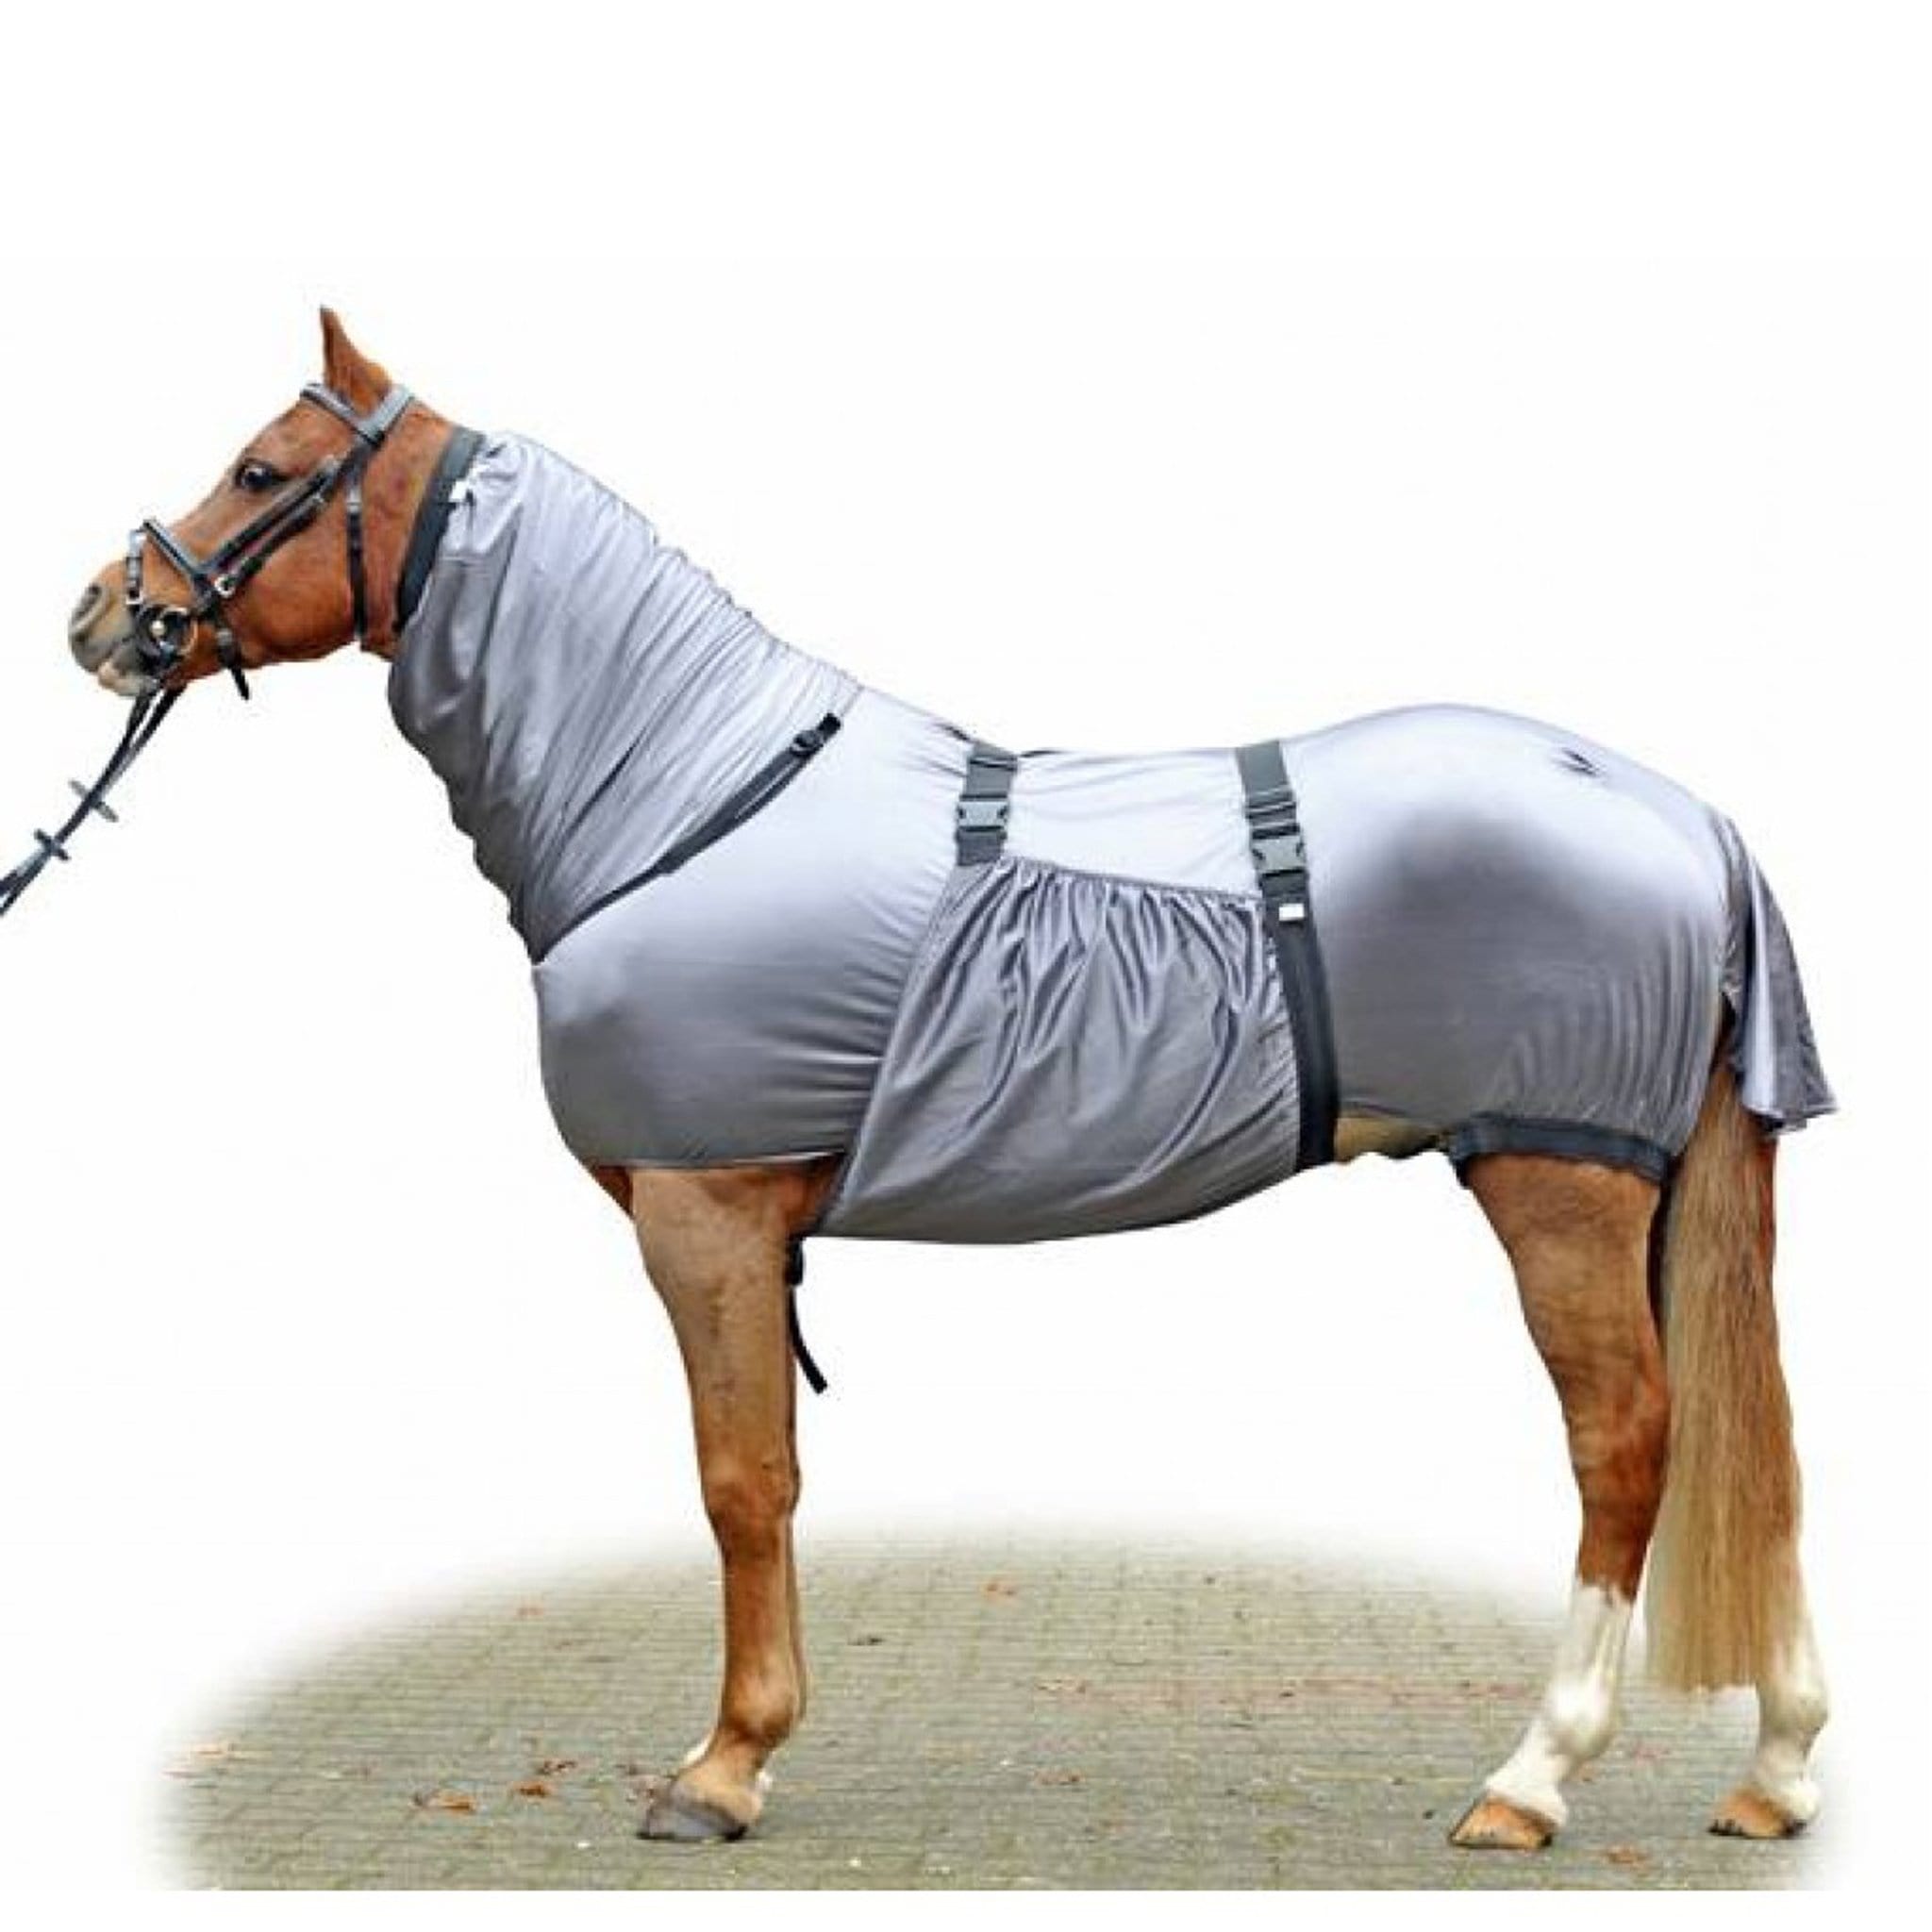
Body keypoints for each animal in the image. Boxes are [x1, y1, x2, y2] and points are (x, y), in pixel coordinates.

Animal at [65, 309, 1832, 1856]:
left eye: (259, 465)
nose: (97, 614)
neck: (691, 793)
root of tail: (1676, 809)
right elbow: (766, 1476)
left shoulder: (704, 1215)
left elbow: (741, 1482)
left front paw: (723, 1768)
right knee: (1750, 1449)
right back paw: (1775, 1770)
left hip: (1554, 1178)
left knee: (1625, 1442)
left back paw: (1530, 1778)